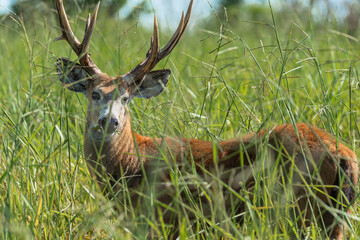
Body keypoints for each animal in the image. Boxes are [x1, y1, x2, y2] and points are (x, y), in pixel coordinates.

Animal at [54, 0, 358, 238]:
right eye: (94, 93)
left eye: (126, 98)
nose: (109, 121)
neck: (132, 164)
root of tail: (345, 157)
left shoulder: (163, 220)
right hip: (333, 219)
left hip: (298, 208)